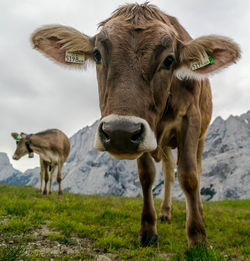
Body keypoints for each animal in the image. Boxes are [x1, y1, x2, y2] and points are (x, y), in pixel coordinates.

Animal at [31, 2, 240, 246]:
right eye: (97, 54)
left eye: (169, 60)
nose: (119, 132)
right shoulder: (146, 138)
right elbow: (147, 176)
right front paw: (148, 230)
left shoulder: (191, 120)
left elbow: (189, 176)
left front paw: (198, 238)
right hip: (163, 143)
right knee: (168, 171)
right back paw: (165, 213)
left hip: (201, 136)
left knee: (196, 168)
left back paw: (198, 212)